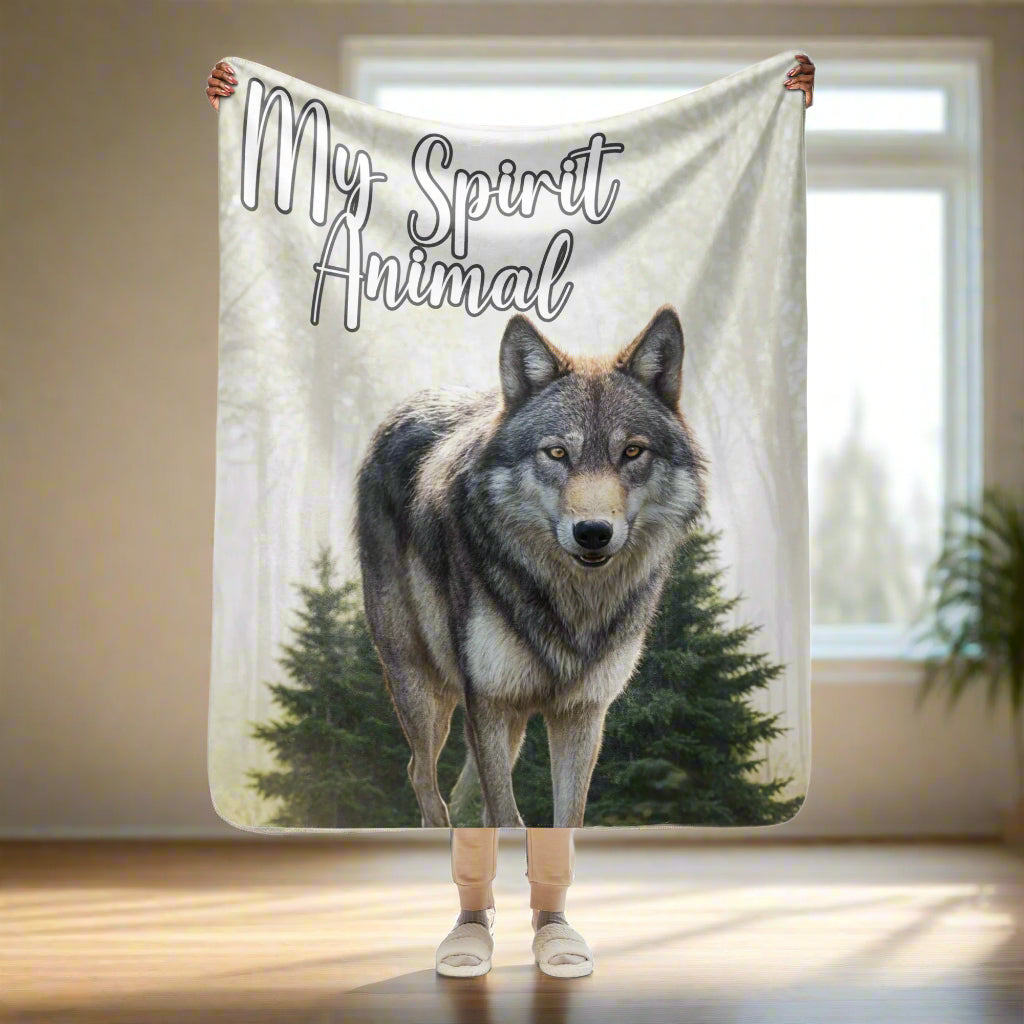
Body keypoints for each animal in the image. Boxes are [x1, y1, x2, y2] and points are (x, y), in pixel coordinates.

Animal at [354, 305, 706, 827]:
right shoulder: (490, 701)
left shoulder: (583, 712)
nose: (593, 532)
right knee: (421, 774)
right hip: (421, 684)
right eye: (557, 452)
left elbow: (564, 818)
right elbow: (503, 815)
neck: (571, 603)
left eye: (632, 451)